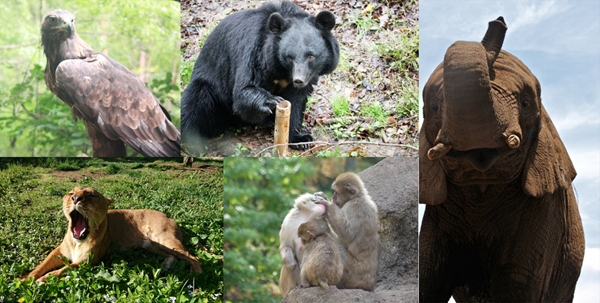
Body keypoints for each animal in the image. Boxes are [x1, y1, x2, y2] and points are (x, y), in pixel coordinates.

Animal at [179, 1, 338, 153]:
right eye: (289, 57)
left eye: (311, 56)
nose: (299, 80)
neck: (282, 70)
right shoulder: (255, 51)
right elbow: (244, 89)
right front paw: (272, 101)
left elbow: (296, 102)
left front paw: (301, 140)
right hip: (209, 87)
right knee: (194, 102)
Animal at [420, 17, 584, 303]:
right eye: (434, 108)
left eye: (526, 102)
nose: (498, 21)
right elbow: (425, 280)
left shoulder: (545, 211)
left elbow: (517, 284)